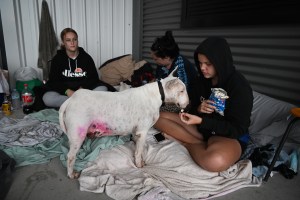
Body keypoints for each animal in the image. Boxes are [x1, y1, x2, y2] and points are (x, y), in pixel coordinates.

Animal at [59, 68, 189, 178]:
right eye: (181, 91)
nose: (188, 104)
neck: (157, 94)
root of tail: (70, 100)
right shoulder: (143, 131)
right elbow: (139, 151)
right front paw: (139, 164)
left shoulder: (137, 132)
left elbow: (137, 148)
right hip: (78, 133)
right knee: (70, 157)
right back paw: (71, 174)